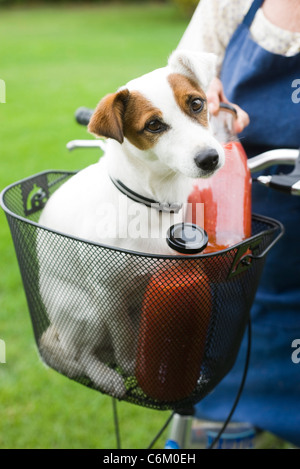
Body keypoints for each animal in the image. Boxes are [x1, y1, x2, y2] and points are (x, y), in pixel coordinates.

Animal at [37, 49, 223, 396]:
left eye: (196, 103)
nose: (209, 158)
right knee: (80, 353)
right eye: (153, 124)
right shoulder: (108, 293)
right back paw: (104, 375)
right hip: (86, 312)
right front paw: (133, 369)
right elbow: (124, 341)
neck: (153, 202)